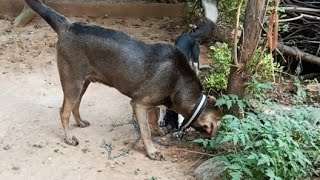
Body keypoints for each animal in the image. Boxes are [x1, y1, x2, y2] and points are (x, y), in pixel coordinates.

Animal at [25, 0, 220, 160]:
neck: (178, 81)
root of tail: (67, 25)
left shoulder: (149, 103)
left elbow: (153, 119)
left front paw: (159, 131)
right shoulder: (138, 104)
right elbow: (146, 131)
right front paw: (152, 151)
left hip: (83, 83)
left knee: (75, 106)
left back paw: (80, 123)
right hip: (72, 82)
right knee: (63, 112)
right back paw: (69, 138)